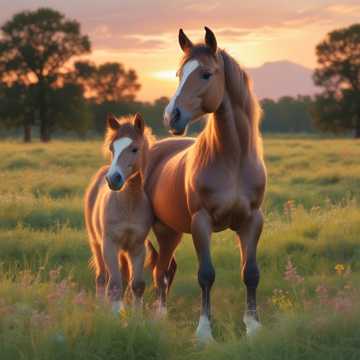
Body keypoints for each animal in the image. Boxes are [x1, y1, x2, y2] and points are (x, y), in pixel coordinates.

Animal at [85, 114, 157, 314]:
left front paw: (136, 317)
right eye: (111, 148)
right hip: (96, 244)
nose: (113, 179)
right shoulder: (109, 244)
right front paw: (114, 317)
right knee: (102, 277)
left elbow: (137, 285)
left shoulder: (138, 247)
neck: (128, 205)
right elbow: (115, 284)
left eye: (134, 149)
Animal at [144, 27, 268, 340]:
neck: (233, 161)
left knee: (166, 269)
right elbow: (206, 275)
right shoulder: (201, 222)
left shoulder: (252, 220)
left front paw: (253, 327)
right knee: (158, 271)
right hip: (159, 229)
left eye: (206, 74)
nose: (171, 116)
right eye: (178, 74)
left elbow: (250, 272)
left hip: (172, 231)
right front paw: (203, 333)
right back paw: (158, 319)